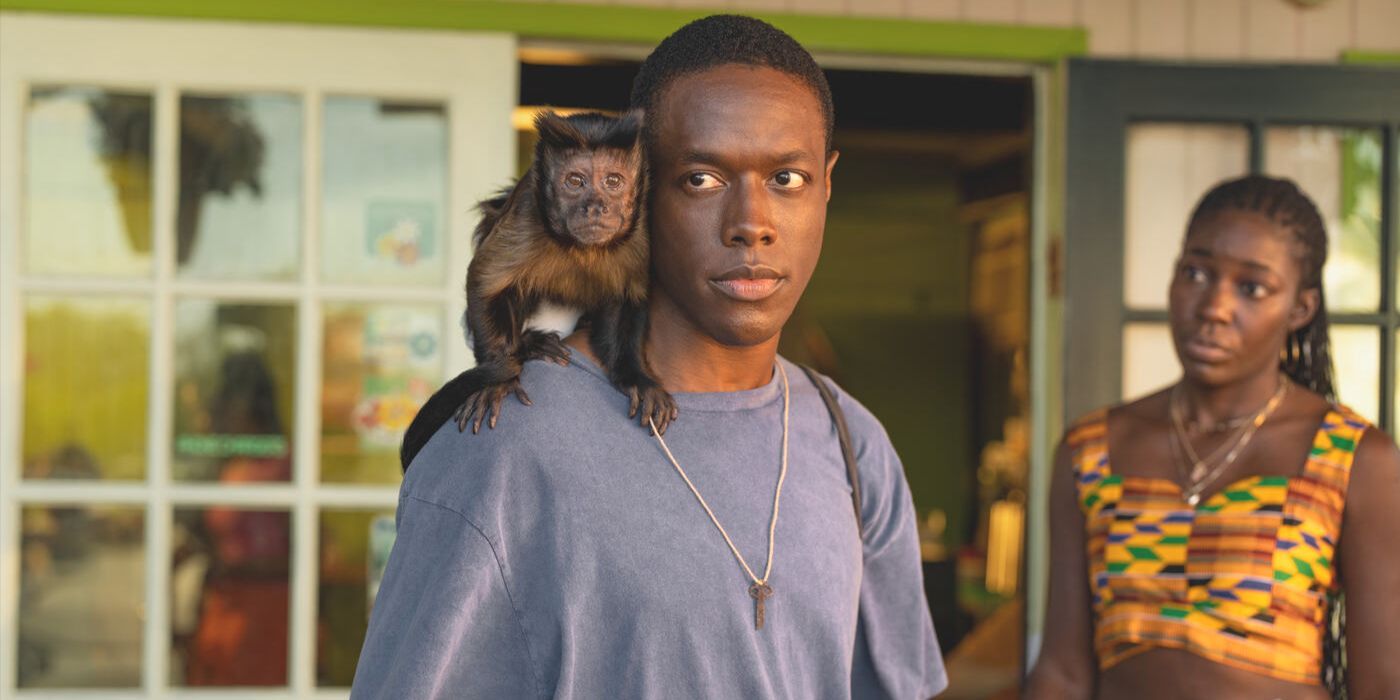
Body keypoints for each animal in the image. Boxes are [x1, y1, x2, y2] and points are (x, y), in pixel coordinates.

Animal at [400, 109, 672, 470]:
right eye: (575, 181)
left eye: (613, 182)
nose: (595, 205)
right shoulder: (527, 210)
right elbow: (485, 282)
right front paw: (500, 378)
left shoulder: (641, 227)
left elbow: (628, 296)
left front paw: (635, 377)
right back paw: (529, 344)